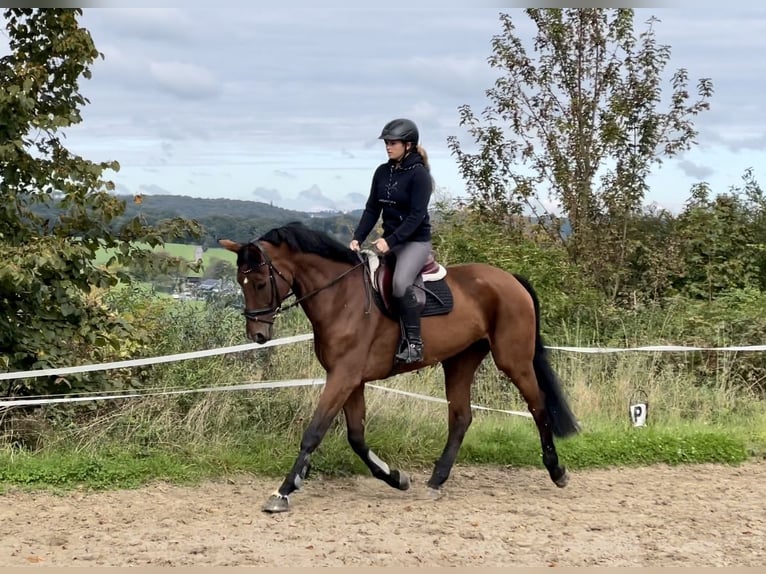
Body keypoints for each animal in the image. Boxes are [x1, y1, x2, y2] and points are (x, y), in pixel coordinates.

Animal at [222, 223, 584, 516]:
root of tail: (510, 279)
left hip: (513, 359)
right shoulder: (352, 380)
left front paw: (283, 491)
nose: (257, 335)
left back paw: (557, 472)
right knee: (461, 418)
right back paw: (436, 481)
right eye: (240, 281)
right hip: (460, 360)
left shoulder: (343, 377)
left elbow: (314, 432)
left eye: (258, 282)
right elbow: (356, 437)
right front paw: (396, 478)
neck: (340, 298)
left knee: (538, 406)